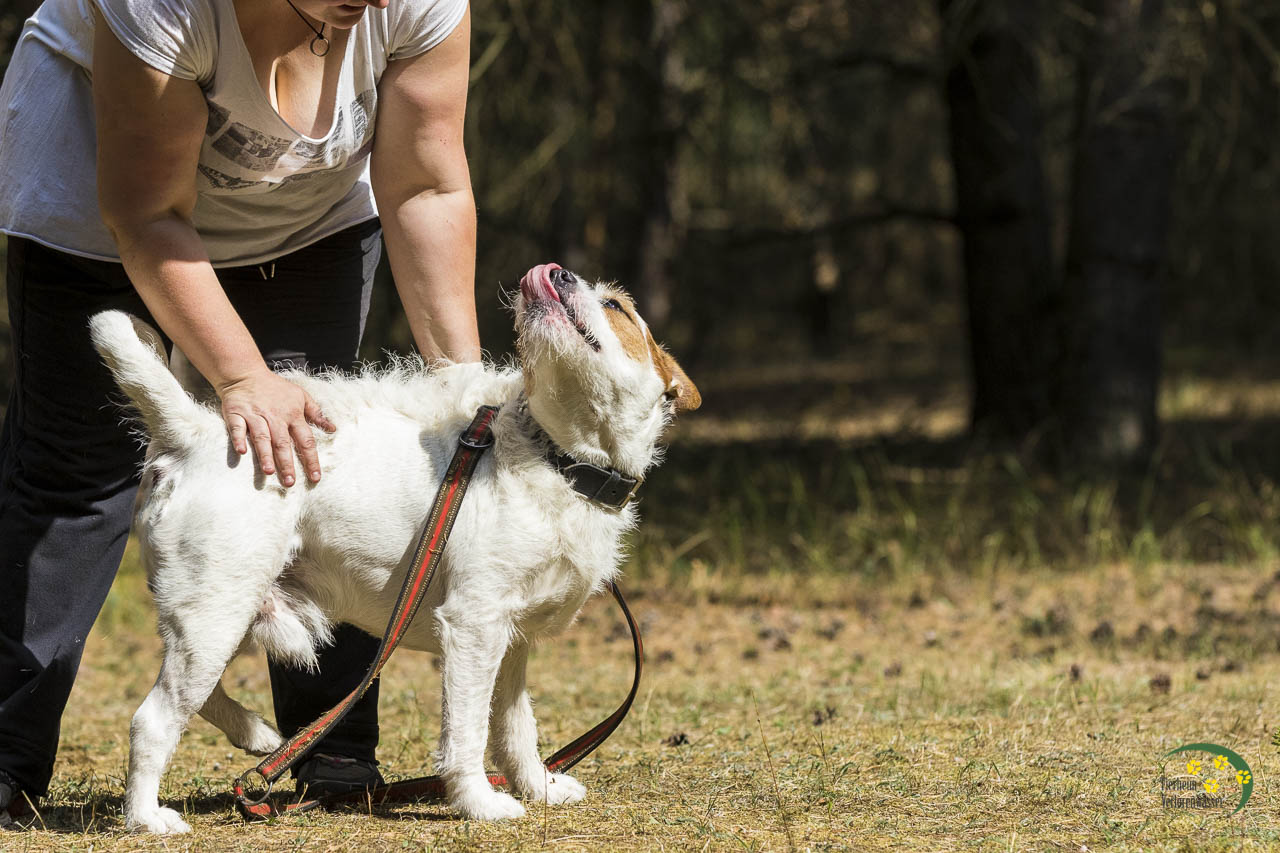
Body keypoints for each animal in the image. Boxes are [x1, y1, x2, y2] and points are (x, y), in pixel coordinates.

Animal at [89, 263, 699, 834]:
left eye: (616, 305)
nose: (552, 272)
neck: (560, 460)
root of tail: (196, 433)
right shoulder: (474, 626)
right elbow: (467, 732)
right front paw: (480, 803)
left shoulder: (513, 642)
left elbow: (515, 728)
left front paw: (539, 788)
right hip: (216, 613)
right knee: (152, 719)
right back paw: (147, 818)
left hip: (227, 617)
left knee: (196, 694)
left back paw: (258, 735)